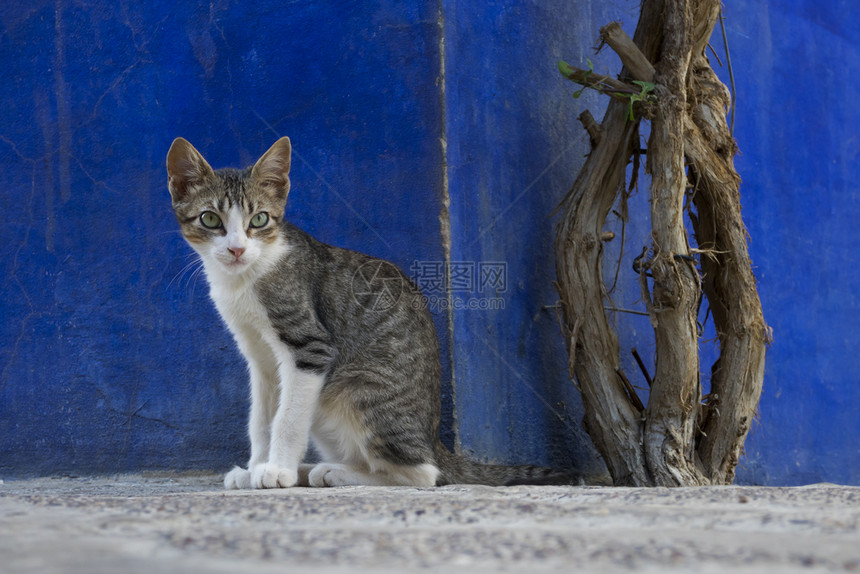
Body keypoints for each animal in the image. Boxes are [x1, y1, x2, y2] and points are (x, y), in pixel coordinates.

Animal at [165, 136, 576, 490]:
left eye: (259, 220)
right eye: (210, 220)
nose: (236, 249)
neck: (244, 277)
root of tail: (433, 438)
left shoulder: (309, 347)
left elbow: (288, 417)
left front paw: (277, 470)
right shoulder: (260, 358)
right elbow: (262, 418)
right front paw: (255, 468)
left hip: (358, 388)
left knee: (423, 473)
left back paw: (331, 472)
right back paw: (315, 468)